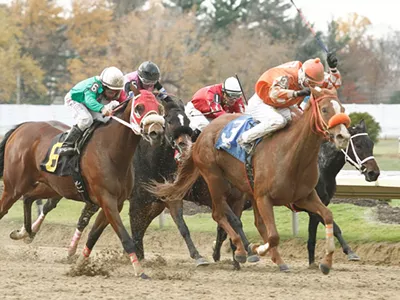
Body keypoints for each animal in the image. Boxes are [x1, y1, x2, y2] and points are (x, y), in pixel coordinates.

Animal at [0, 89, 166, 278]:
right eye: (139, 108)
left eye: (160, 108)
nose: (156, 133)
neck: (111, 151)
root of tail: (21, 127)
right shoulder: (107, 200)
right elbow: (125, 237)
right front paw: (140, 271)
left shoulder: (115, 203)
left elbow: (93, 235)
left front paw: (80, 266)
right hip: (14, 186)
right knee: (6, 207)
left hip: (51, 186)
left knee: (28, 198)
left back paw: (25, 233)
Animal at [148, 86, 352, 274]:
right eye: (324, 109)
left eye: (342, 108)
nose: (342, 136)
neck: (291, 154)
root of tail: (201, 137)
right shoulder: (263, 197)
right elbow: (271, 235)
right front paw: (253, 249)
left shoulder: (304, 197)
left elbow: (328, 216)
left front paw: (327, 262)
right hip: (213, 179)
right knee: (215, 215)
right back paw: (231, 251)